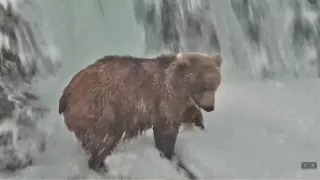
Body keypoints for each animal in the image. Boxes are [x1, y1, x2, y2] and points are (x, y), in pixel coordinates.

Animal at [58, 51, 221, 172]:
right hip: (101, 109)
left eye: (215, 86)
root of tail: (66, 93)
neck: (180, 86)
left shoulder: (181, 103)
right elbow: (166, 131)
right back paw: (102, 166)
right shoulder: (163, 99)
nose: (210, 107)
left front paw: (199, 124)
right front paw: (169, 155)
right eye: (202, 86)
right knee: (106, 138)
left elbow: (188, 113)